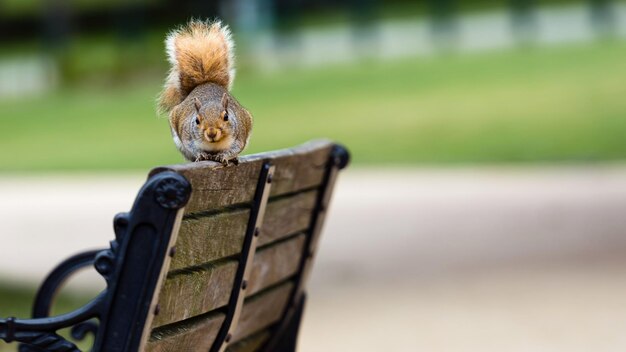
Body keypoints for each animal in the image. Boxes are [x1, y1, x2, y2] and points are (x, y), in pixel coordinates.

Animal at [156, 20, 251, 166]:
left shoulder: (240, 136)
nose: (211, 133)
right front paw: (201, 155)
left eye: (226, 117)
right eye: (197, 120)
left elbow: (235, 148)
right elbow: (192, 147)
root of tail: (206, 83)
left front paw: (225, 155)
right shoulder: (187, 136)